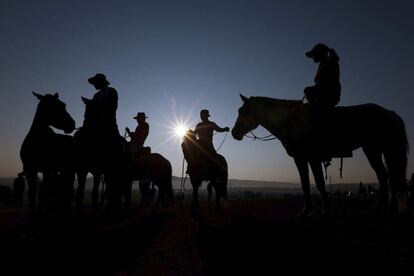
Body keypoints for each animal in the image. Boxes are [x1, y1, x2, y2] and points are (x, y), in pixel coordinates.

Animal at [231, 95, 410, 218]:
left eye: (242, 111)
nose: (234, 133)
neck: (291, 122)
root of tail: (391, 113)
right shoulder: (302, 159)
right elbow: (307, 184)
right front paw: (309, 211)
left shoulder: (311, 158)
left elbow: (317, 183)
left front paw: (322, 211)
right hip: (378, 150)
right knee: (387, 177)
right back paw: (385, 209)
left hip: (377, 150)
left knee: (387, 177)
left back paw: (384, 209)